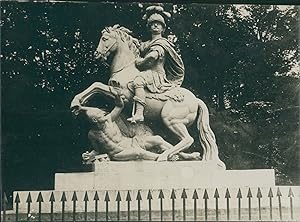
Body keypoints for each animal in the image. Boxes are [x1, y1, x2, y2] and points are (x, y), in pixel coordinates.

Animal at [70, 24, 225, 168]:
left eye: (104, 38)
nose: (97, 54)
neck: (125, 69)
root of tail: (196, 100)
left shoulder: (121, 94)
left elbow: (97, 85)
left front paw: (76, 102)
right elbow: (96, 87)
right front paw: (78, 104)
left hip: (171, 120)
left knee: (188, 139)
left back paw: (164, 156)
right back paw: (186, 156)